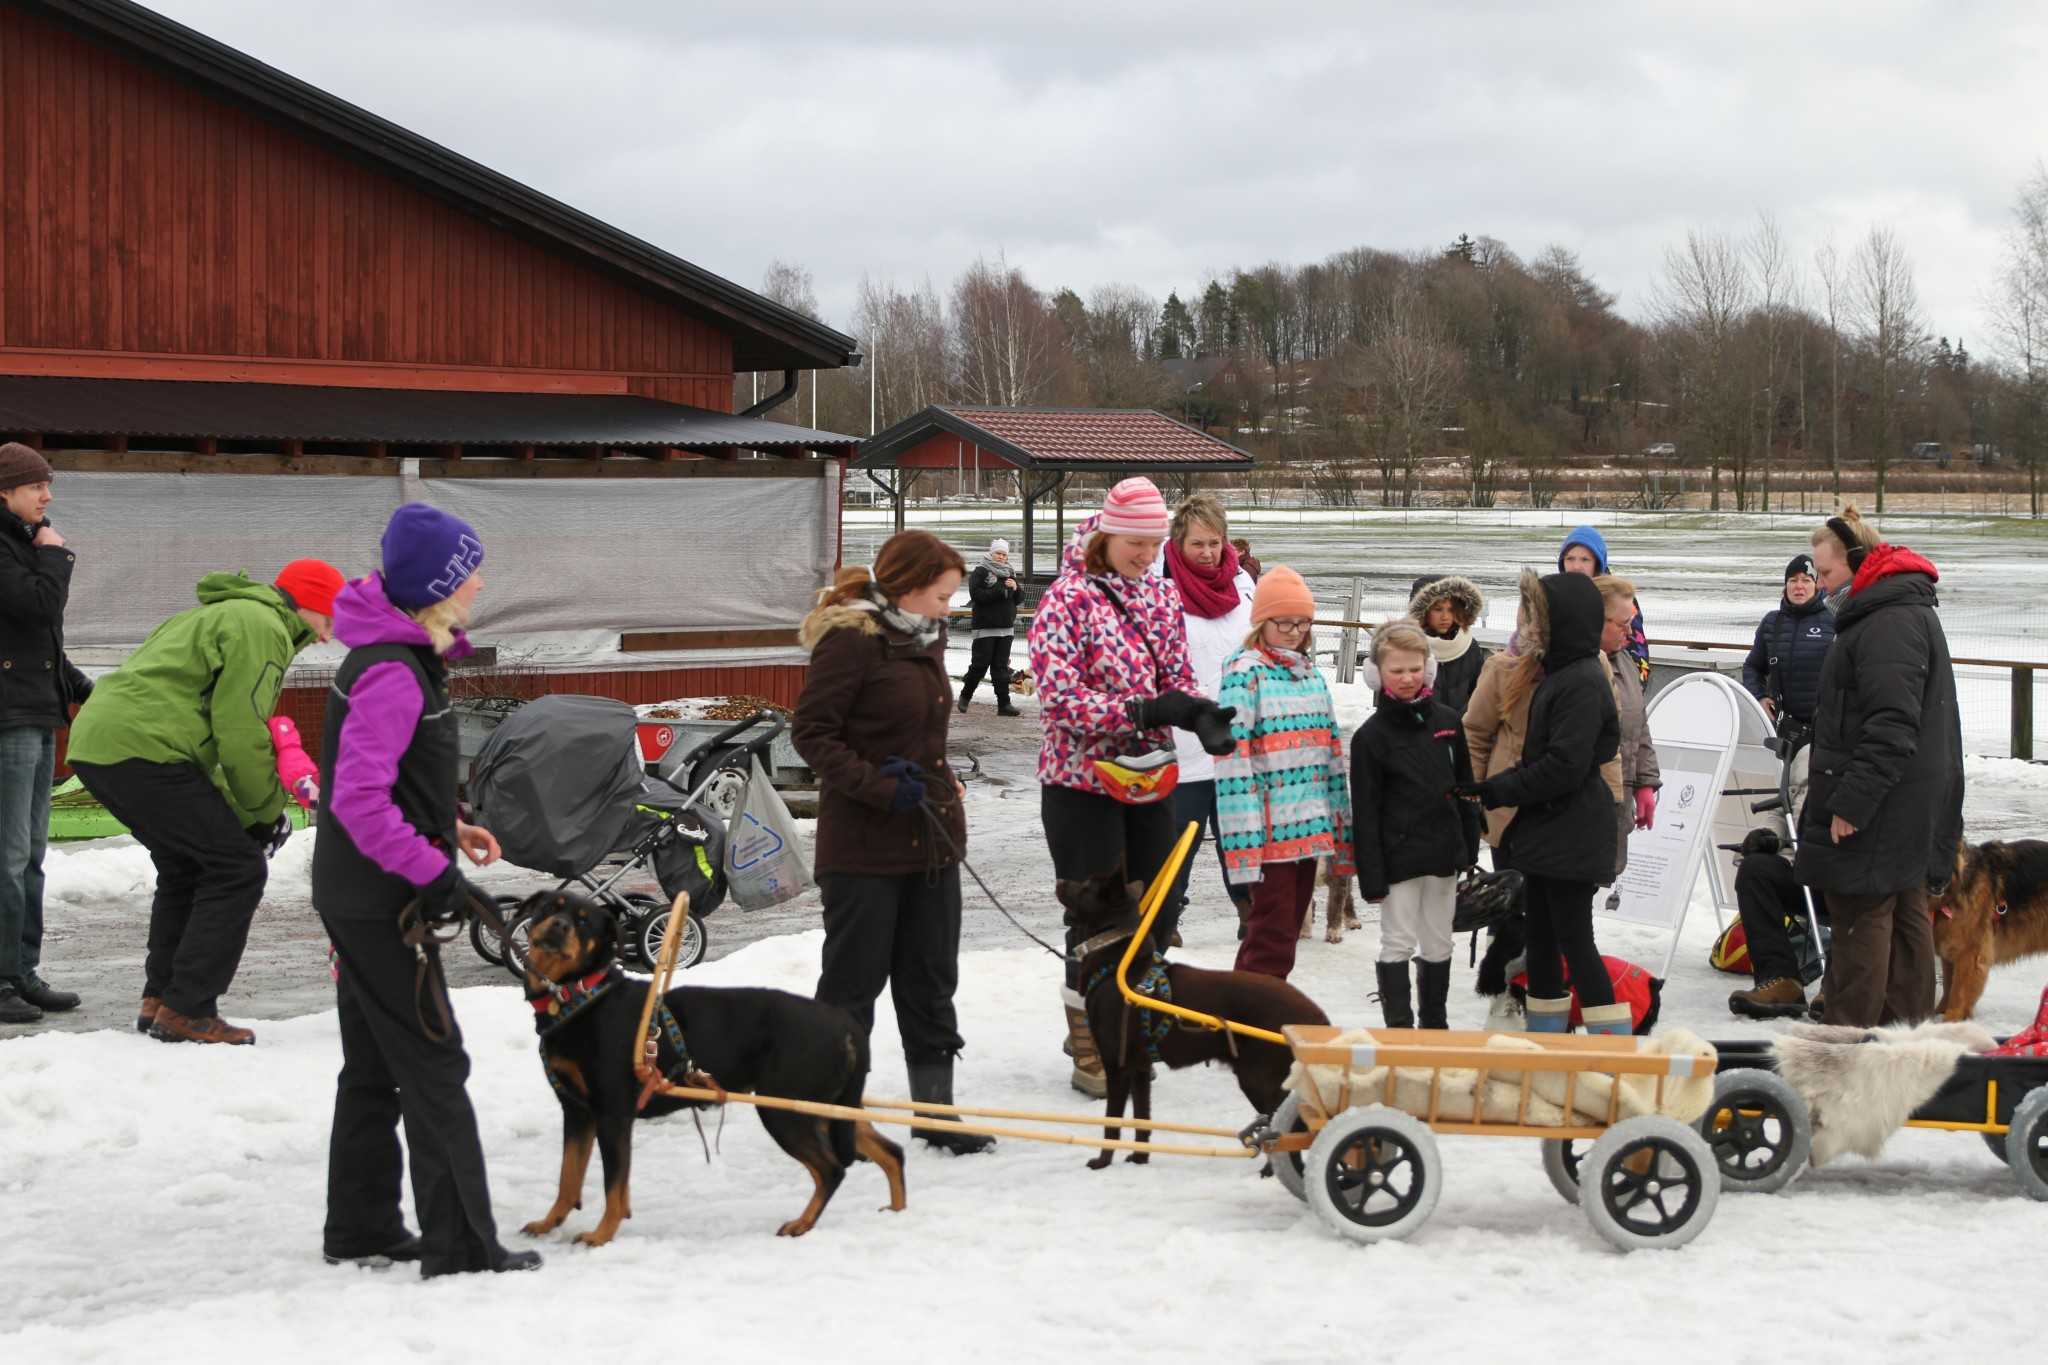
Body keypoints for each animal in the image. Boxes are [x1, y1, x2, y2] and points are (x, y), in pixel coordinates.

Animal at [520, 892, 905, 1244]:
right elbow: (568, 1178)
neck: (578, 996)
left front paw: (601, 1235)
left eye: (584, 921)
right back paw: (897, 1212)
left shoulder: (611, 1114)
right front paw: (548, 1222)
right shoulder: (578, 1112)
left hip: (786, 1109)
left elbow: (613, 1184)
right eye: (550, 907)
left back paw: (802, 1224)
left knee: (831, 1170)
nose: (559, 925)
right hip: (827, 1106)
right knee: (890, 1152)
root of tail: (844, 1024)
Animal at [1056, 875, 1327, 1178]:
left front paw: (1103, 1162)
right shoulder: (1139, 1069)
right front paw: (1139, 1159)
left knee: (1285, 1126)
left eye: (1086, 886)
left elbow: (1111, 1123)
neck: (1118, 965)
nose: (1060, 880)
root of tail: (1313, 1015)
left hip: (1258, 1078)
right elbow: (1142, 1119)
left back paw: (1274, 1171)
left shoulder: (1118, 1066)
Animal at [1925, 839, 2048, 1019]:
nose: (1939, 881)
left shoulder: (1969, 956)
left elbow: (1958, 993)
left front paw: (1951, 1020)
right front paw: (1939, 1013)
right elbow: (1948, 986)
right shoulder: (1949, 956)